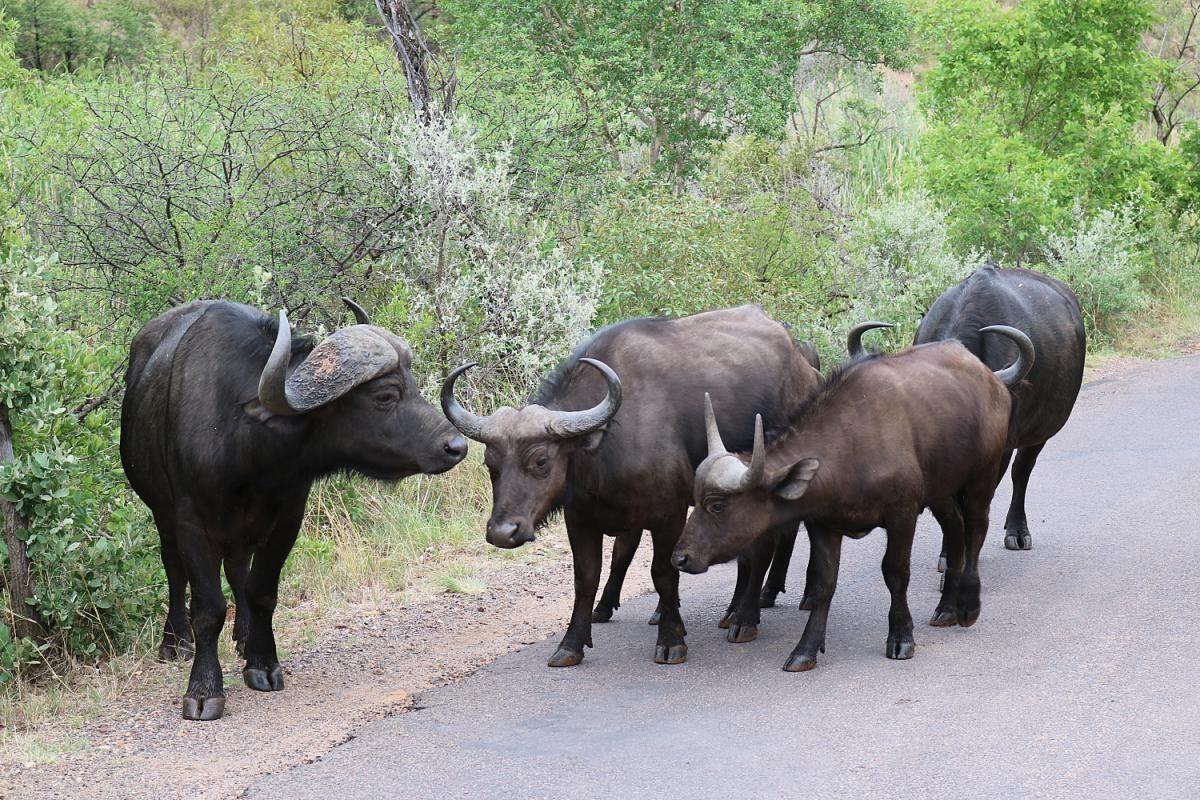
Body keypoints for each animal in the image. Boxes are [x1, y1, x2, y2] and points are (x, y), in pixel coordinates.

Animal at [120, 298, 467, 720]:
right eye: (385, 396)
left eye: (413, 383)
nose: (456, 446)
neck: (248, 450)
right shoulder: (192, 523)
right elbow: (209, 608)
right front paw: (203, 690)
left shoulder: (287, 519)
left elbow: (262, 592)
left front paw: (262, 662)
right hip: (161, 511)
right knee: (173, 565)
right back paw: (175, 641)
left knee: (238, 569)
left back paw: (243, 636)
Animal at [440, 306, 860, 666]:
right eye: (491, 464)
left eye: (541, 460)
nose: (502, 532)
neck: (605, 445)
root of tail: (807, 367)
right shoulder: (582, 519)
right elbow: (587, 577)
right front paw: (572, 643)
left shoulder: (667, 514)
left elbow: (663, 572)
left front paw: (672, 640)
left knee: (763, 546)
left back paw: (744, 617)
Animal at [671, 326, 1034, 672]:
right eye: (696, 501)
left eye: (718, 505)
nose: (680, 558)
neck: (850, 445)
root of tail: (990, 378)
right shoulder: (824, 526)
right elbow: (822, 584)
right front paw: (805, 650)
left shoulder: (902, 514)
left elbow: (895, 572)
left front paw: (901, 637)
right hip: (940, 489)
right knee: (956, 530)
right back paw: (946, 608)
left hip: (982, 476)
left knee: (976, 529)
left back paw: (968, 605)